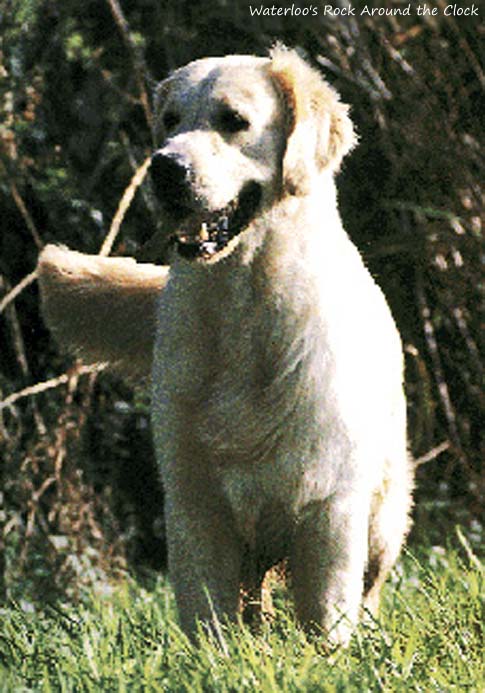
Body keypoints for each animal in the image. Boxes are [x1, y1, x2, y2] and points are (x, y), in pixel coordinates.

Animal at [36, 47, 412, 644]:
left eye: (234, 120)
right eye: (169, 121)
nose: (164, 167)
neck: (244, 305)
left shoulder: (331, 504)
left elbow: (326, 614)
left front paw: (328, 655)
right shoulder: (196, 503)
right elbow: (205, 614)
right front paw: (213, 655)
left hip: (385, 509)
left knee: (371, 582)